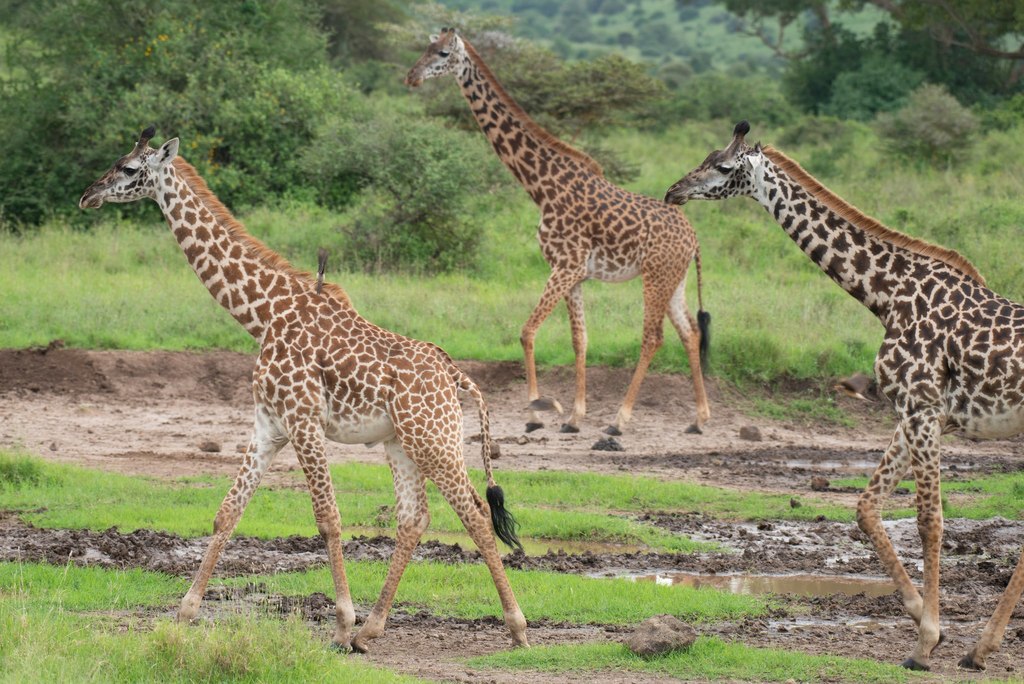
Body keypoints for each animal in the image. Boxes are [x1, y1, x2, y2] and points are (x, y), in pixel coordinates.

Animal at [78, 126, 528, 651]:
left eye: (130, 169)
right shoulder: (268, 426)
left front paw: (341, 623)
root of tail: (456, 376)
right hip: (402, 443)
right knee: (414, 519)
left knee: (475, 513)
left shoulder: (303, 421)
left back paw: (516, 628)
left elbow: (328, 519)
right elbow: (227, 512)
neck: (264, 314)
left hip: (432, 439)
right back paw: (373, 629)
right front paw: (184, 613)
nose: (87, 195)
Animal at [403, 29, 708, 436]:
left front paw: (535, 413)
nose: (411, 77)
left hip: (656, 277)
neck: (540, 187)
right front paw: (575, 416)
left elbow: (527, 331)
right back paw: (699, 418)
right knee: (690, 333)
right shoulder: (574, 273)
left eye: (441, 53)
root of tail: (694, 239)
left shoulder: (565, 266)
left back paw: (619, 420)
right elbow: (579, 339)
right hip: (675, 279)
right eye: (424, 48)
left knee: (653, 337)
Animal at [663, 120, 1024, 671]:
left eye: (722, 166)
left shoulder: (920, 407)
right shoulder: (921, 414)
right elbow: (866, 507)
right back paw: (981, 649)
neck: (888, 295)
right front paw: (924, 621)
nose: (674, 192)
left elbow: (929, 520)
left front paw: (925, 643)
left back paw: (982, 646)